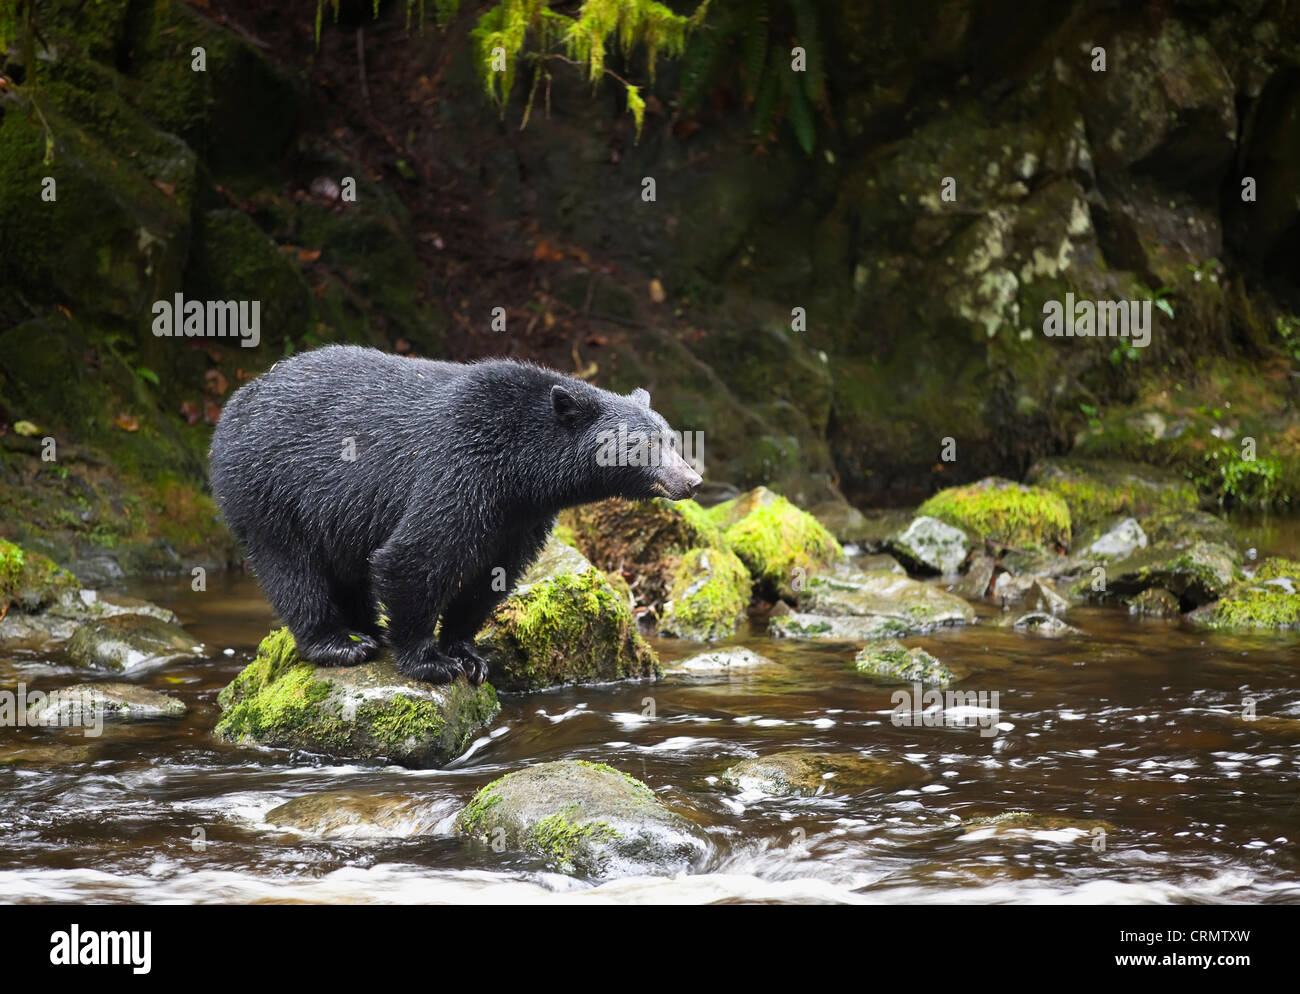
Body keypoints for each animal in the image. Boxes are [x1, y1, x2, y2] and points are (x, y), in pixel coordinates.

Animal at [208, 343, 702, 680]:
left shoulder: (521, 514)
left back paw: (366, 629)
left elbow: (493, 574)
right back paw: (337, 643)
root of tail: (235, 403)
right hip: (269, 486)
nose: (691, 481)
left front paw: (468, 652)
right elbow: (416, 555)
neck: (522, 466)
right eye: (643, 445)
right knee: (292, 568)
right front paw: (430, 661)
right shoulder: (459, 464)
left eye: (671, 439)